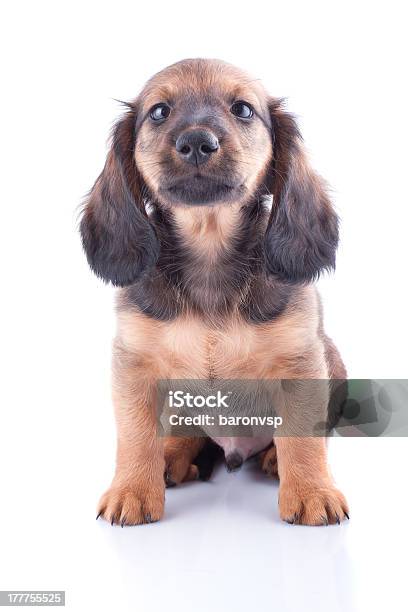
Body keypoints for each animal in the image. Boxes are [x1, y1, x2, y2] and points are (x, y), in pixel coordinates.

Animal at [81, 57, 350, 524]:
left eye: (243, 109)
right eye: (159, 111)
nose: (196, 142)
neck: (209, 254)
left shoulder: (301, 364)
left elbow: (302, 435)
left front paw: (311, 491)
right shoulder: (134, 366)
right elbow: (136, 434)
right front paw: (132, 490)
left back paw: (272, 459)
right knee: (185, 431)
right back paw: (172, 457)